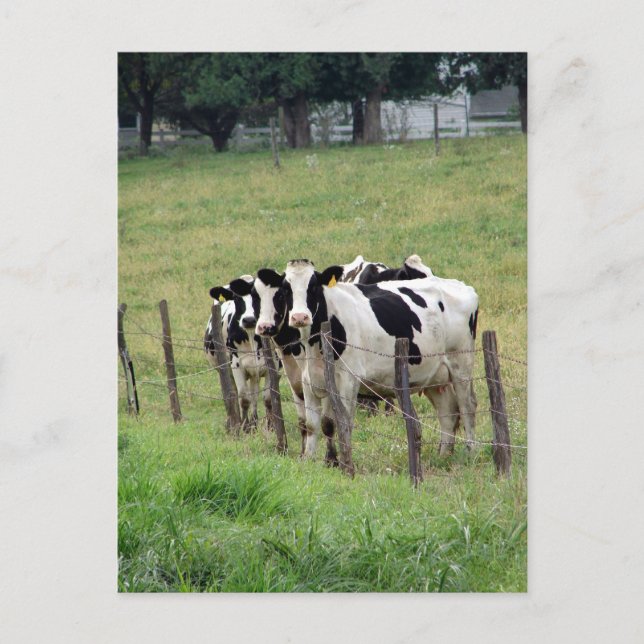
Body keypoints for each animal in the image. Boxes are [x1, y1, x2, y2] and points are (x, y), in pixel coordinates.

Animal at [204, 275, 272, 432]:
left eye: (259, 295)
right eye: (235, 298)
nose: (249, 320)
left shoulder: (273, 365)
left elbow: (267, 398)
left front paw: (271, 426)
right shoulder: (236, 365)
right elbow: (244, 398)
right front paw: (245, 427)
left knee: (254, 394)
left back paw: (254, 422)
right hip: (226, 370)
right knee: (232, 394)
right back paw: (234, 423)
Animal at [250, 259, 479, 474]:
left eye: (313, 286)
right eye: (286, 289)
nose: (299, 317)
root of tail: (462, 285)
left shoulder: (348, 380)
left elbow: (343, 423)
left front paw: (345, 466)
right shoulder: (308, 381)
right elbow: (313, 424)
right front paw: (309, 460)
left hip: (461, 365)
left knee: (467, 407)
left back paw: (470, 452)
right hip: (434, 375)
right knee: (448, 411)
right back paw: (443, 455)